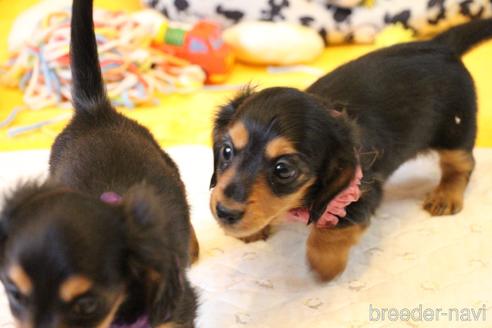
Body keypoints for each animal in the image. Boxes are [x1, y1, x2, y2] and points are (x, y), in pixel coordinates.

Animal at [209, 19, 492, 282]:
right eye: (226, 151)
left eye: (283, 169)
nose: (225, 212)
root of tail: (441, 46)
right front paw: (256, 228)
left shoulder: (361, 192)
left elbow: (330, 233)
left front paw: (324, 265)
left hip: (456, 131)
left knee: (461, 164)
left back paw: (446, 195)